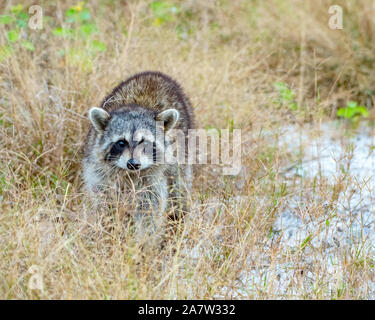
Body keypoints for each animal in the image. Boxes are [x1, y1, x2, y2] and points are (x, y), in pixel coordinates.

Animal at [82, 71, 194, 236]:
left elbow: (149, 207)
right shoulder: (99, 171)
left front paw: (142, 238)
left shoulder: (153, 180)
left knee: (179, 189)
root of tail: (154, 74)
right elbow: (104, 200)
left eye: (145, 143)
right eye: (121, 143)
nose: (133, 164)